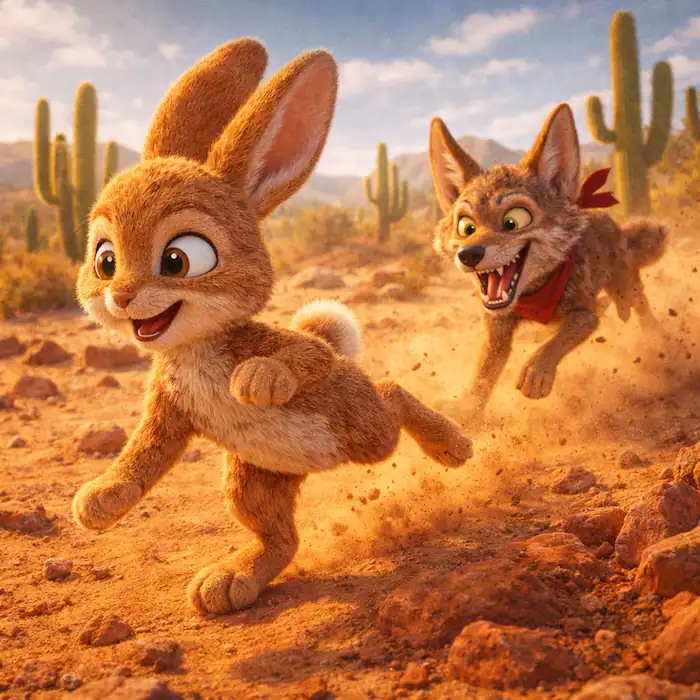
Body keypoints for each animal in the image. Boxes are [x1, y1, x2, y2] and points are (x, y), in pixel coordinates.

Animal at [71, 38, 473, 615]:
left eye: (179, 259)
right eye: (105, 260)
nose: (122, 297)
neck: (194, 349)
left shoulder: (273, 346)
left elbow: (308, 356)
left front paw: (257, 381)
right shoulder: (169, 409)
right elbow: (142, 456)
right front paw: (98, 504)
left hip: (365, 430)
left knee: (391, 394)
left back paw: (452, 447)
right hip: (256, 477)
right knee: (282, 538)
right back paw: (230, 580)